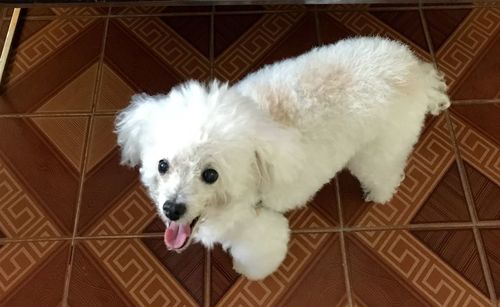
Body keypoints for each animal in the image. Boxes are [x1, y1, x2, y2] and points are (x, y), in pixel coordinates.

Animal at [115, 36, 452, 282]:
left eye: (210, 175)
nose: (172, 209)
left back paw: (378, 194)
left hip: (376, 153)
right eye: (163, 165)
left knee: (386, 174)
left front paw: (244, 271)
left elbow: (256, 256)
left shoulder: (259, 229)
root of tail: (413, 70)